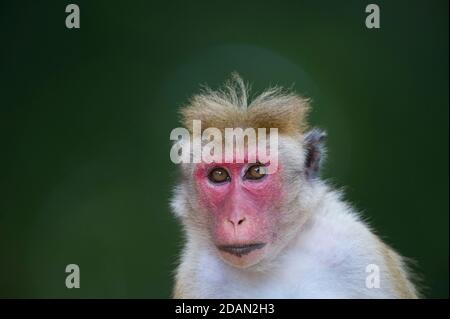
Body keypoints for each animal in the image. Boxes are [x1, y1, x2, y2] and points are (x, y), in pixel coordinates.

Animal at [170, 74, 418, 298]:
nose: (235, 219)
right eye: (219, 175)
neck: (275, 261)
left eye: (256, 171)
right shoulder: (196, 276)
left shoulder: (360, 252)